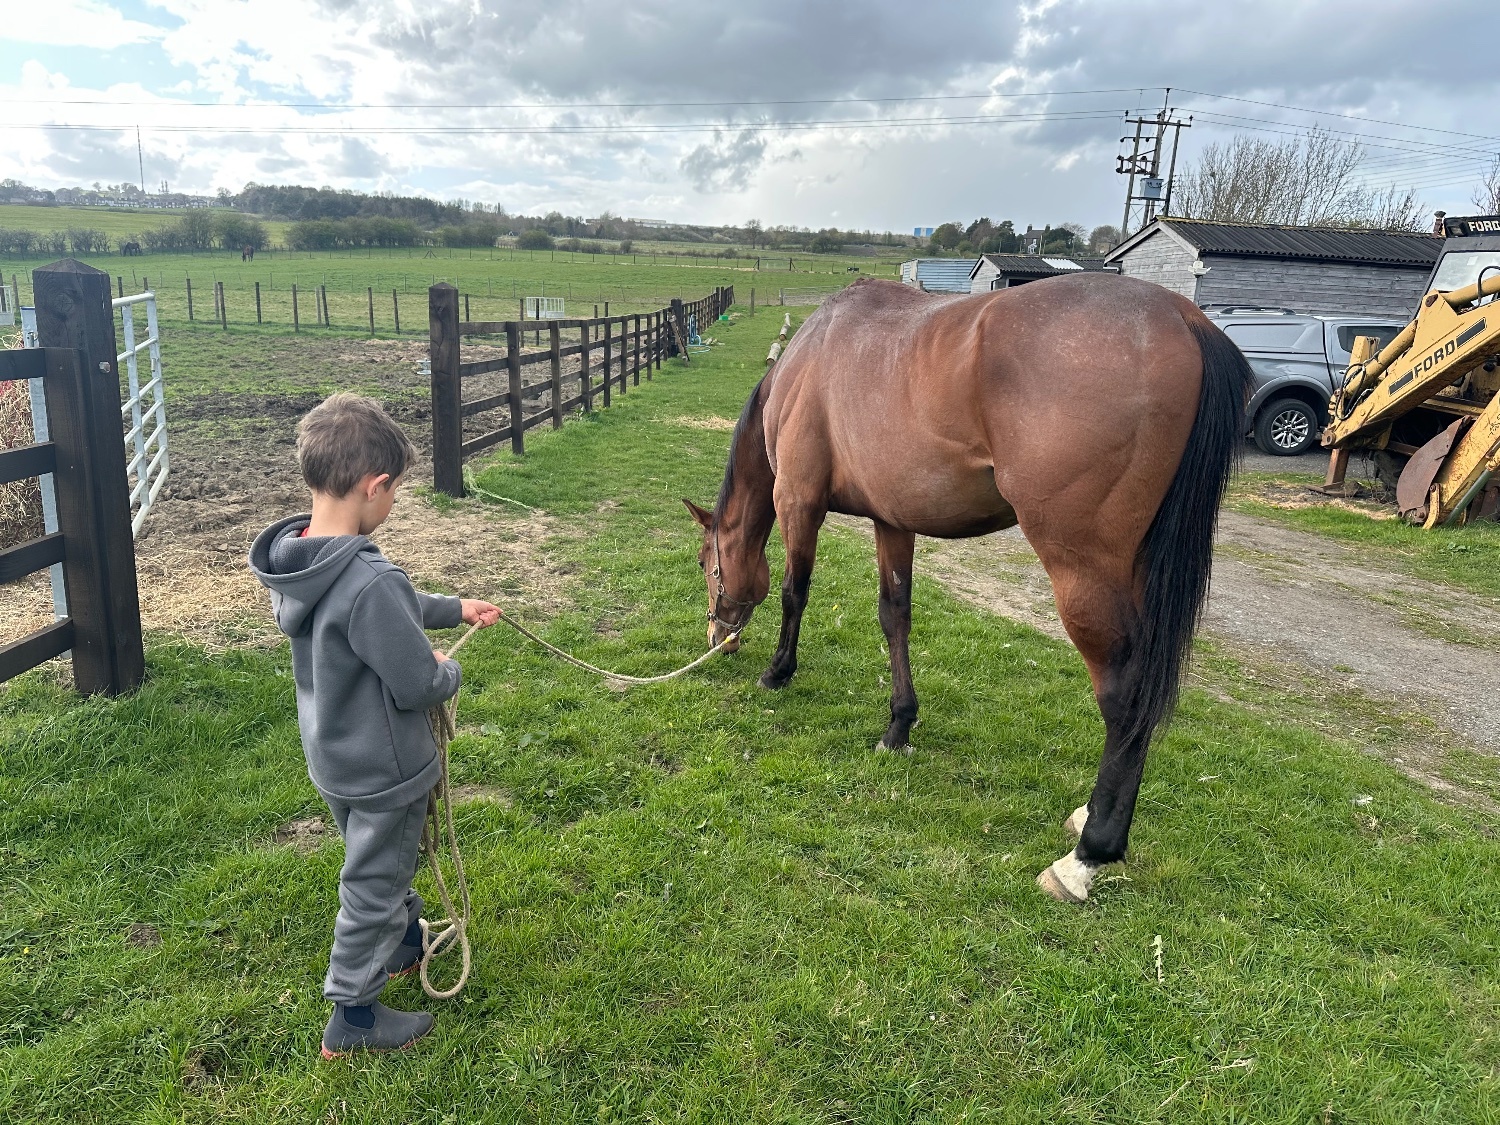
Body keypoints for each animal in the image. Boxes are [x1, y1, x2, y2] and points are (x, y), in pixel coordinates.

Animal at [684, 274, 1249, 904]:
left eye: (707, 563)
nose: (718, 638)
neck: (808, 358)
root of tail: (1181, 316)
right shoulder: (892, 520)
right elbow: (894, 615)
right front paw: (898, 725)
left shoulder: (798, 502)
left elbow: (794, 591)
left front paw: (778, 672)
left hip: (1083, 569)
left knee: (1124, 693)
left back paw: (1087, 856)